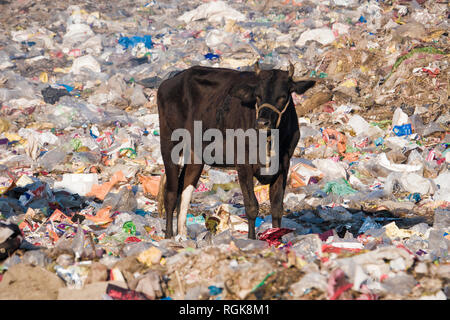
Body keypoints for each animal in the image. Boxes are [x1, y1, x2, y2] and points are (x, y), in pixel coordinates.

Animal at [156, 62, 314, 239]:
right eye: (257, 95)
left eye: (283, 96)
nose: (262, 122)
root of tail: (170, 81)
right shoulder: (243, 163)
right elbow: (252, 206)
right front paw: (252, 239)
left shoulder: (284, 164)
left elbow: (277, 207)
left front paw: (277, 237)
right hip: (169, 142)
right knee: (171, 193)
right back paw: (169, 236)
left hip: (195, 154)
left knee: (184, 190)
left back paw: (182, 235)